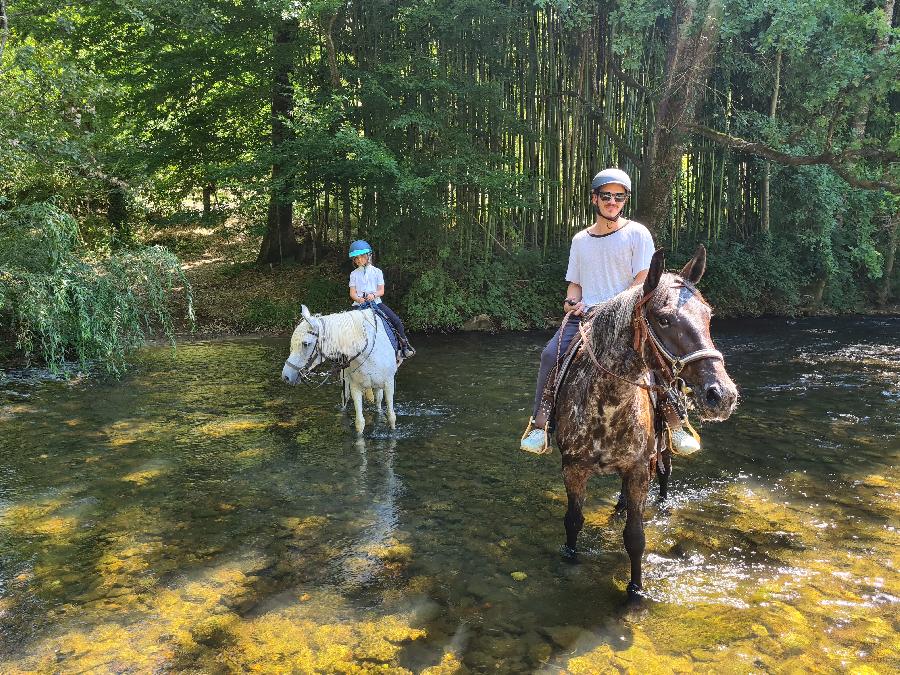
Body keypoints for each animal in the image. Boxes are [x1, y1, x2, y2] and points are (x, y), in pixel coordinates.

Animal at [278, 304, 398, 434]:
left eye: (305, 344)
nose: (286, 376)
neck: (368, 352)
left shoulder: (389, 384)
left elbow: (391, 417)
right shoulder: (355, 387)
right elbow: (359, 423)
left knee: (378, 403)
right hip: (345, 383)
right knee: (345, 400)